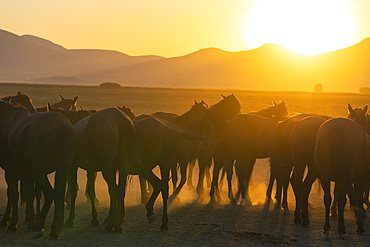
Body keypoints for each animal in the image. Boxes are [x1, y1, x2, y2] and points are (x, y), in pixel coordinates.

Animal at [0, 99, 76, 238]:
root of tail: (62, 126)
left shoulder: (11, 171)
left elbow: (13, 195)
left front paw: (12, 223)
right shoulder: (26, 173)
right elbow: (30, 194)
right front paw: (30, 220)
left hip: (38, 173)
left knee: (50, 193)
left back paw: (39, 227)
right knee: (58, 194)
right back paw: (53, 229)